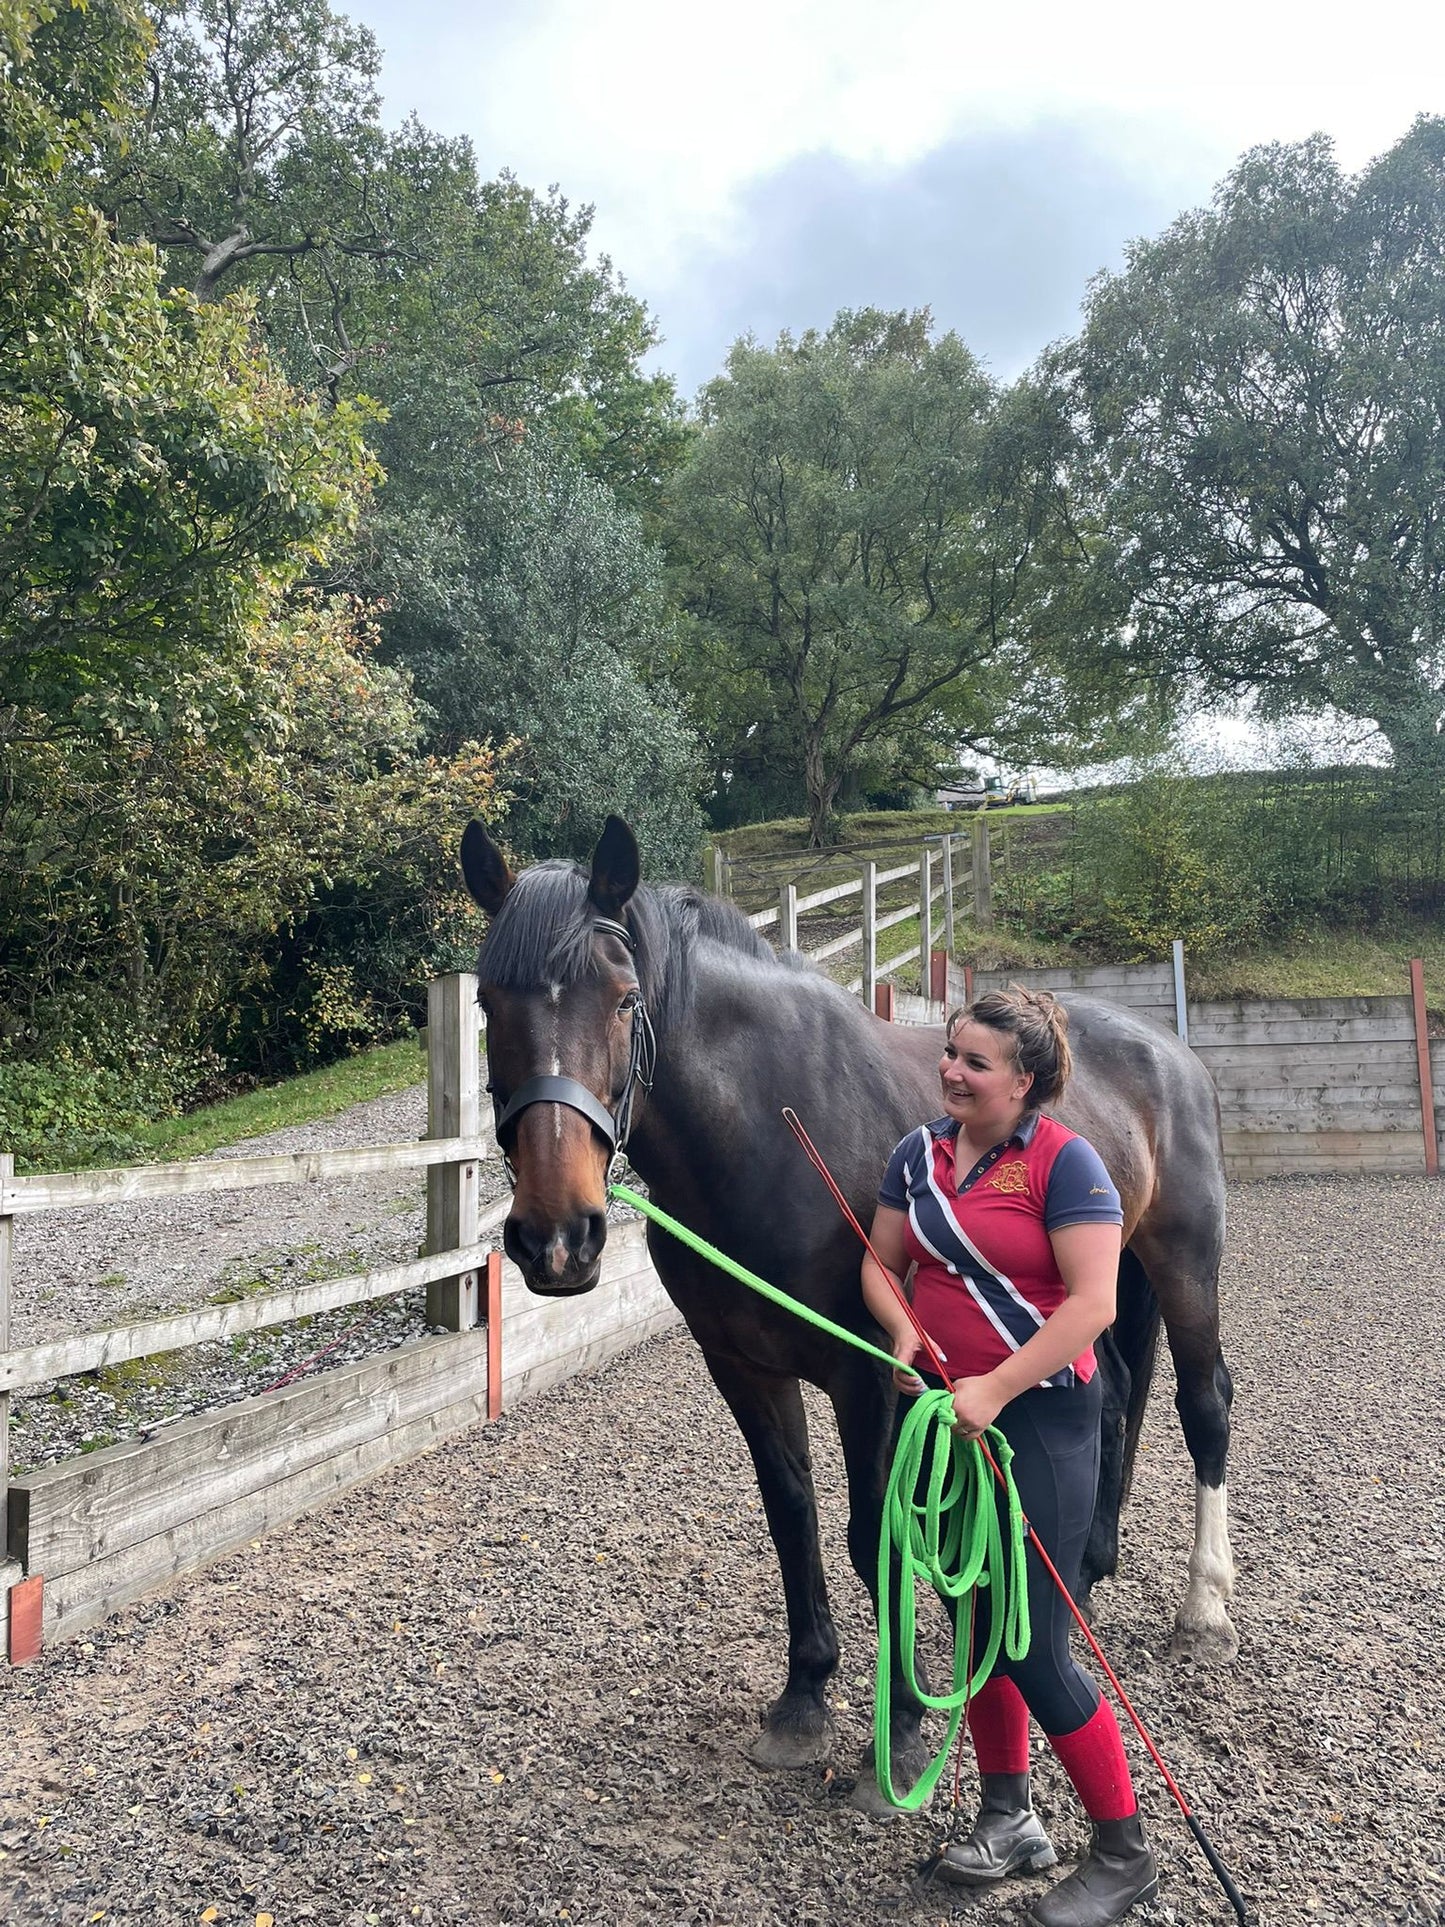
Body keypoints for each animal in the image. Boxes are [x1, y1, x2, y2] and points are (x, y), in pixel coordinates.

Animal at [460, 814, 1237, 1807]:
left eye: (625, 998)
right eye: (488, 1003)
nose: (557, 1236)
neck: (767, 1125)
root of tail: (1165, 1047)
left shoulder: (870, 1372)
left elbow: (876, 1535)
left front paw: (899, 1727)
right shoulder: (743, 1368)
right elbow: (791, 1516)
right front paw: (804, 1697)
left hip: (1182, 1263)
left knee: (1201, 1404)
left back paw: (1203, 1608)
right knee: (1109, 1398)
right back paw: (1077, 1581)